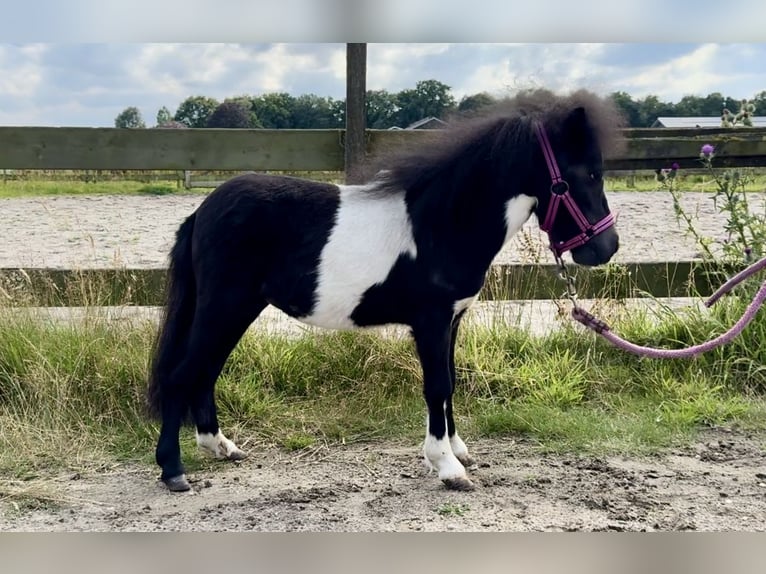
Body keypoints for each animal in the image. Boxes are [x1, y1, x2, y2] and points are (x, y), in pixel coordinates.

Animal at [147, 90, 628, 496]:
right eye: (583, 174)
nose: (606, 248)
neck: (443, 224)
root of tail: (202, 210)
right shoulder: (432, 322)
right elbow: (437, 386)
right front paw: (448, 467)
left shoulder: (453, 320)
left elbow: (451, 382)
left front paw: (458, 451)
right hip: (226, 305)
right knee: (183, 375)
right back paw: (173, 470)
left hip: (236, 308)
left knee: (205, 372)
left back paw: (221, 447)